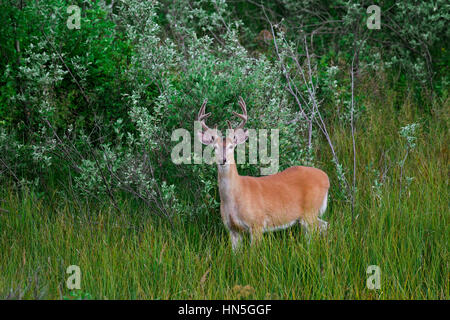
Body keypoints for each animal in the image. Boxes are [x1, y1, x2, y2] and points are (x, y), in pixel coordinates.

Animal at [197, 96, 330, 251]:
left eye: (231, 146)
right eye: (214, 147)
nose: (223, 160)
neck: (235, 197)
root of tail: (326, 177)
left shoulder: (257, 223)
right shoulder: (232, 229)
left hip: (310, 210)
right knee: (324, 226)